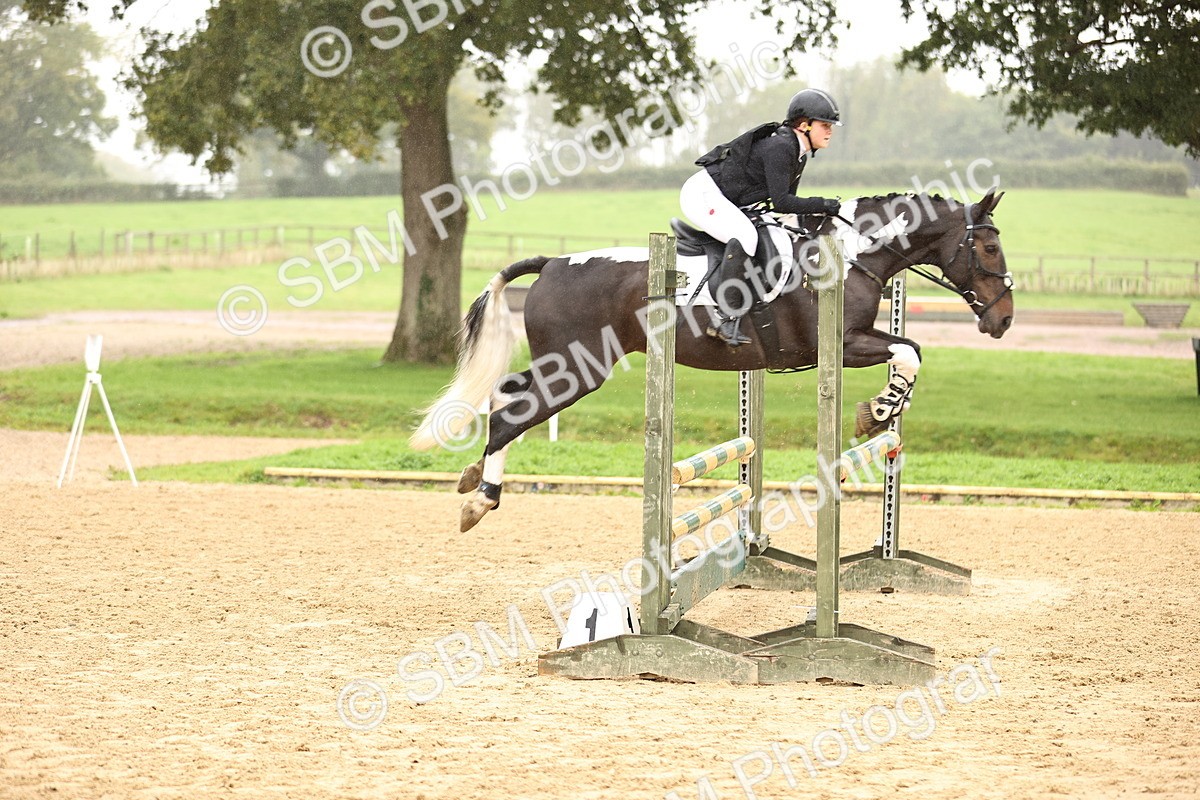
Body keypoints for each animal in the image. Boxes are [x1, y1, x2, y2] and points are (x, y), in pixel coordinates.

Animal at [411, 188, 1013, 532]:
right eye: (988, 248)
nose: (1003, 320)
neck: (851, 254)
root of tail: (553, 262)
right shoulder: (840, 345)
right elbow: (908, 351)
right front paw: (879, 411)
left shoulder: (852, 342)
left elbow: (911, 350)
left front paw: (880, 410)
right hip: (578, 370)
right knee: (513, 413)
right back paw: (481, 500)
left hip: (565, 367)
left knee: (505, 395)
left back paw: (473, 475)